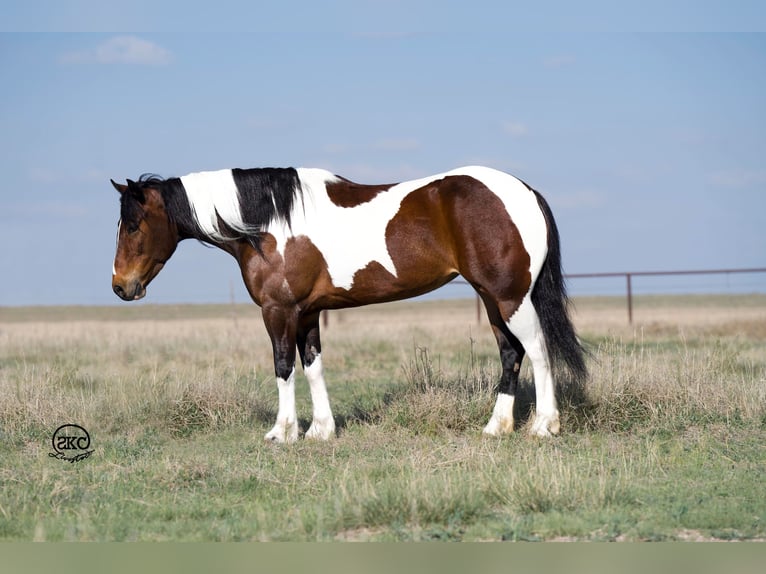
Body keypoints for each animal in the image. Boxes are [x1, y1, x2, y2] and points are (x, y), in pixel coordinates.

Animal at [109, 166, 588, 446]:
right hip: (493, 300)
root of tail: (524, 191)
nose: (120, 287)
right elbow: (313, 366)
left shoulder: (278, 311)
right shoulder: (307, 312)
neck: (267, 223)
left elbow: (283, 366)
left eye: (133, 225)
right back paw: (496, 427)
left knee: (539, 352)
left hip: (510, 298)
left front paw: (283, 432)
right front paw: (321, 430)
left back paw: (544, 425)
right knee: (511, 354)